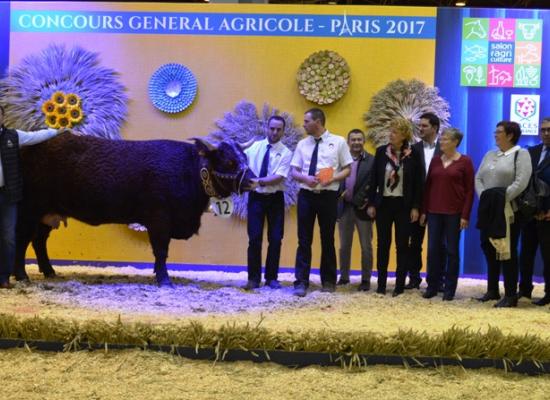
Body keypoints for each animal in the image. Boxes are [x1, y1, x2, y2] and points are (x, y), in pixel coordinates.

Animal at [15, 133, 256, 286]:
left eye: (245, 157)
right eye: (230, 162)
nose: (254, 181)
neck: (189, 170)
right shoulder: (159, 220)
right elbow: (161, 251)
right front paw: (164, 280)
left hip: (46, 215)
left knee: (39, 241)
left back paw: (49, 271)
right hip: (29, 210)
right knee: (22, 240)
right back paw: (21, 276)